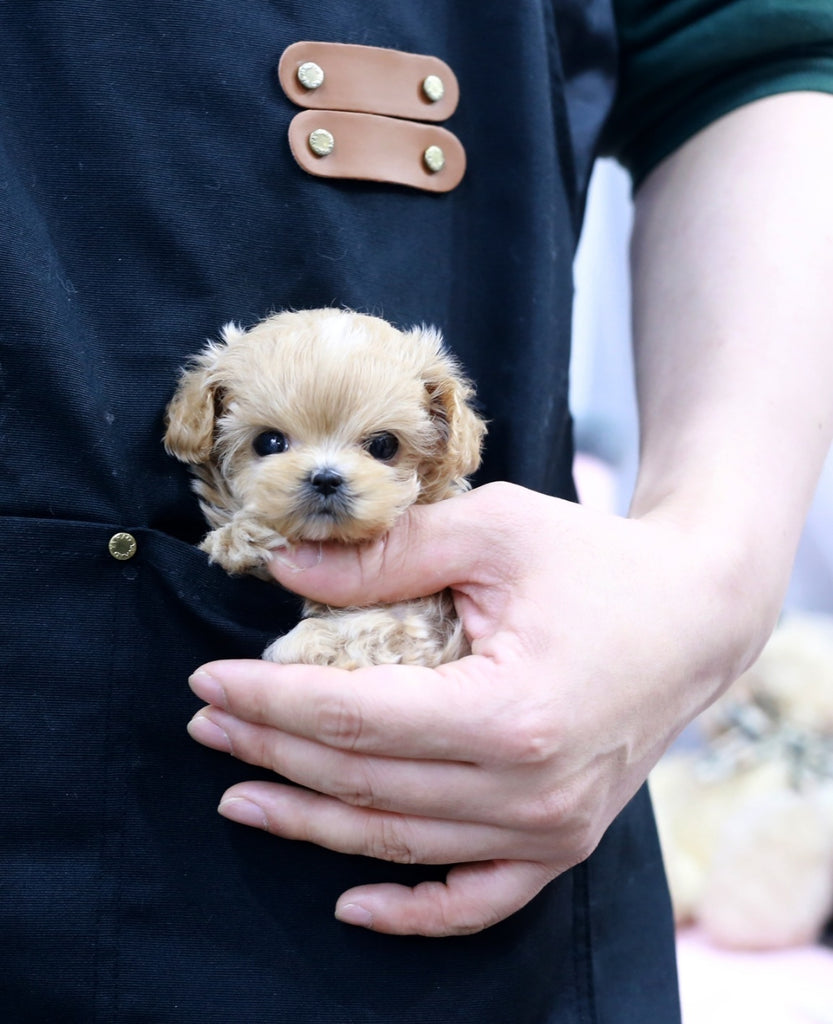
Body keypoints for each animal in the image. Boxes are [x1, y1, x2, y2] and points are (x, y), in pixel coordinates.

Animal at [162, 307, 483, 667]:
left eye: (384, 445)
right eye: (269, 442)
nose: (326, 478)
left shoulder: (422, 621)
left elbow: (372, 630)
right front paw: (238, 538)